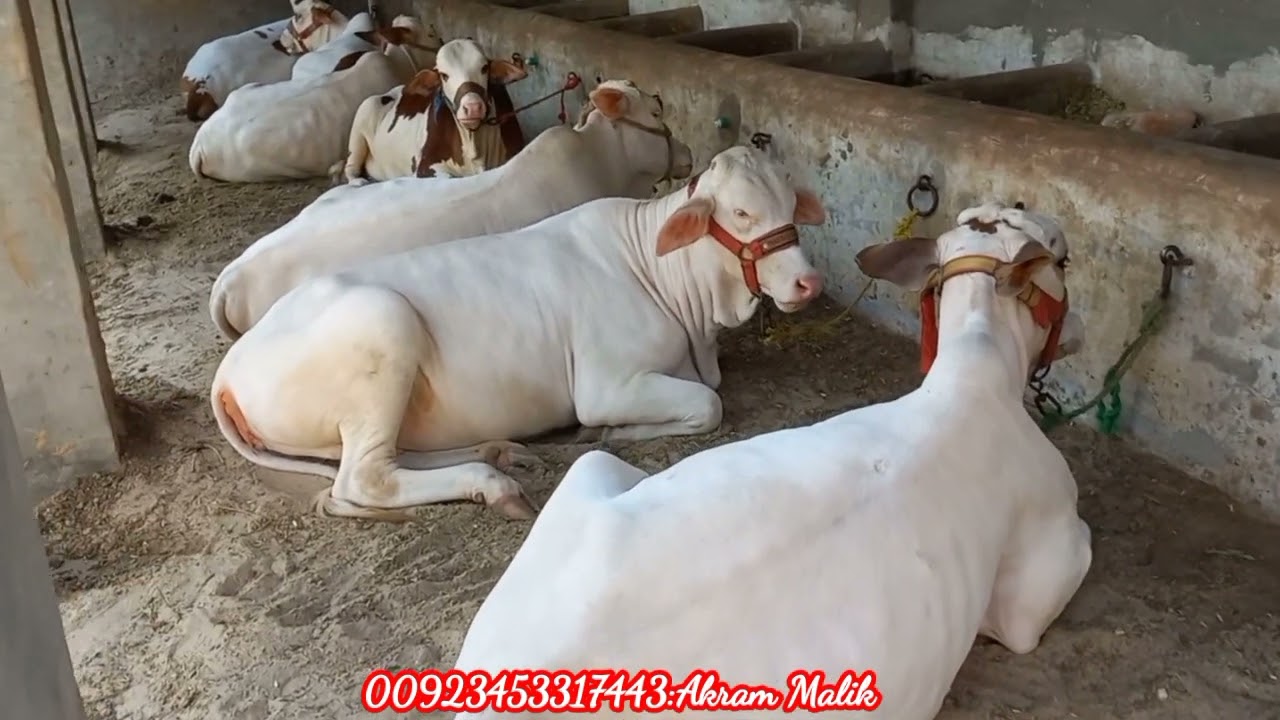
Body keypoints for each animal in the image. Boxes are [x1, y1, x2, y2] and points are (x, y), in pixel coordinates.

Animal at [209, 146, 827, 522]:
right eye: (742, 213)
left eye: (792, 203)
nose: (809, 280)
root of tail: (228, 371)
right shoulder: (605, 384)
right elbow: (707, 404)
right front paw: (612, 432)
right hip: (382, 323)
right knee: (363, 478)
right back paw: (493, 483)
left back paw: (497, 452)